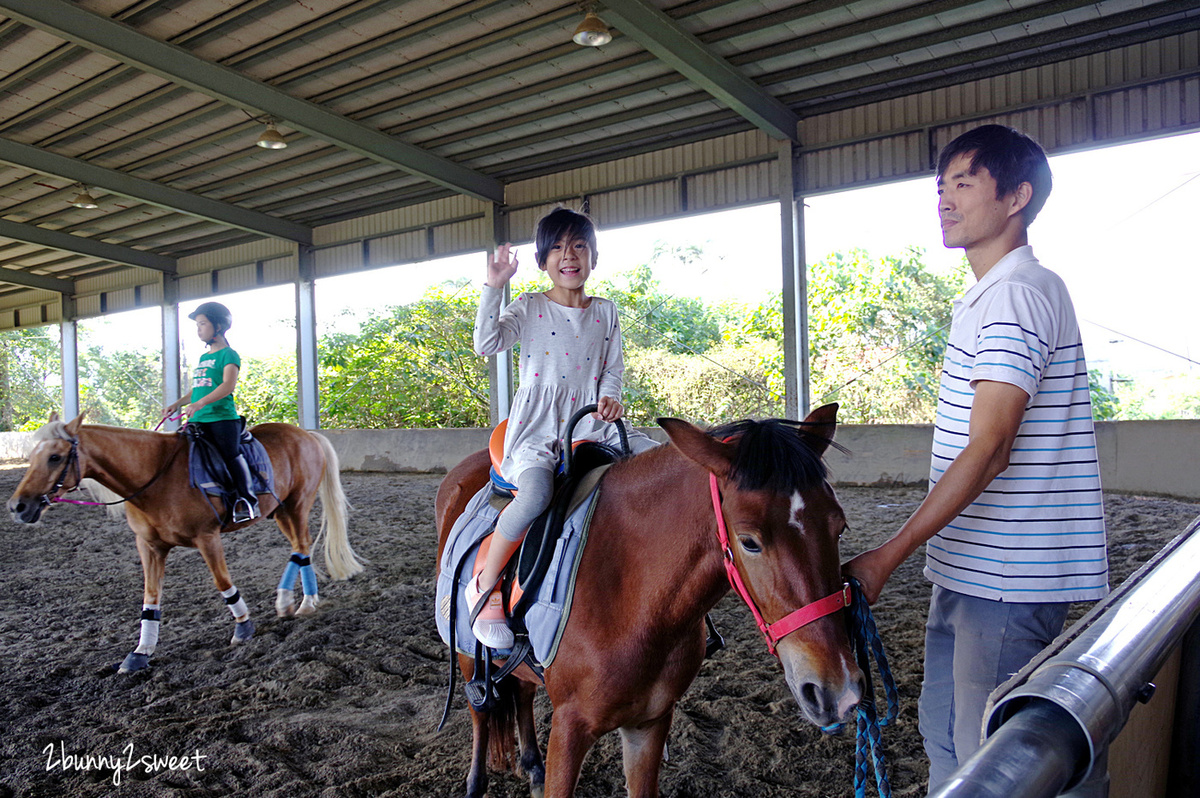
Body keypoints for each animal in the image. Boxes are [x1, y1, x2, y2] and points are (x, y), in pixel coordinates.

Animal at [5, 412, 360, 667]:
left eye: (55, 457)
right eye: (33, 456)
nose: (18, 507)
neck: (154, 476)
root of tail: (307, 434)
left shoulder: (207, 537)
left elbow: (222, 582)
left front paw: (243, 627)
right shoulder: (148, 546)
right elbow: (150, 597)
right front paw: (141, 652)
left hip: (298, 503)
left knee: (302, 546)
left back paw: (300, 602)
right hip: (280, 510)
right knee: (300, 548)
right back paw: (293, 602)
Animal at [436, 405, 859, 796]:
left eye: (840, 526)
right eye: (750, 541)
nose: (837, 689)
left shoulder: (650, 722)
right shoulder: (569, 726)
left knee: (522, 691)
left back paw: (532, 767)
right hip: (468, 654)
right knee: (481, 711)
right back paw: (476, 781)